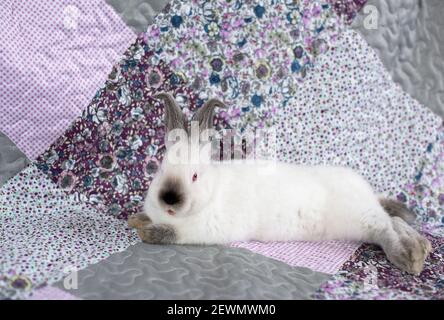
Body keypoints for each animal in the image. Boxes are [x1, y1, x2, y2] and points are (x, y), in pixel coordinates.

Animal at [130, 93, 432, 276]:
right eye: (160, 169)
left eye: (194, 176)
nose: (169, 200)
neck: (211, 192)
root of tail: (369, 192)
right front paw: (136, 219)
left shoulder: (201, 230)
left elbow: (171, 234)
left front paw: (148, 233)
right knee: (394, 221)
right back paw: (422, 247)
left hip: (359, 218)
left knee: (385, 228)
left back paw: (410, 257)